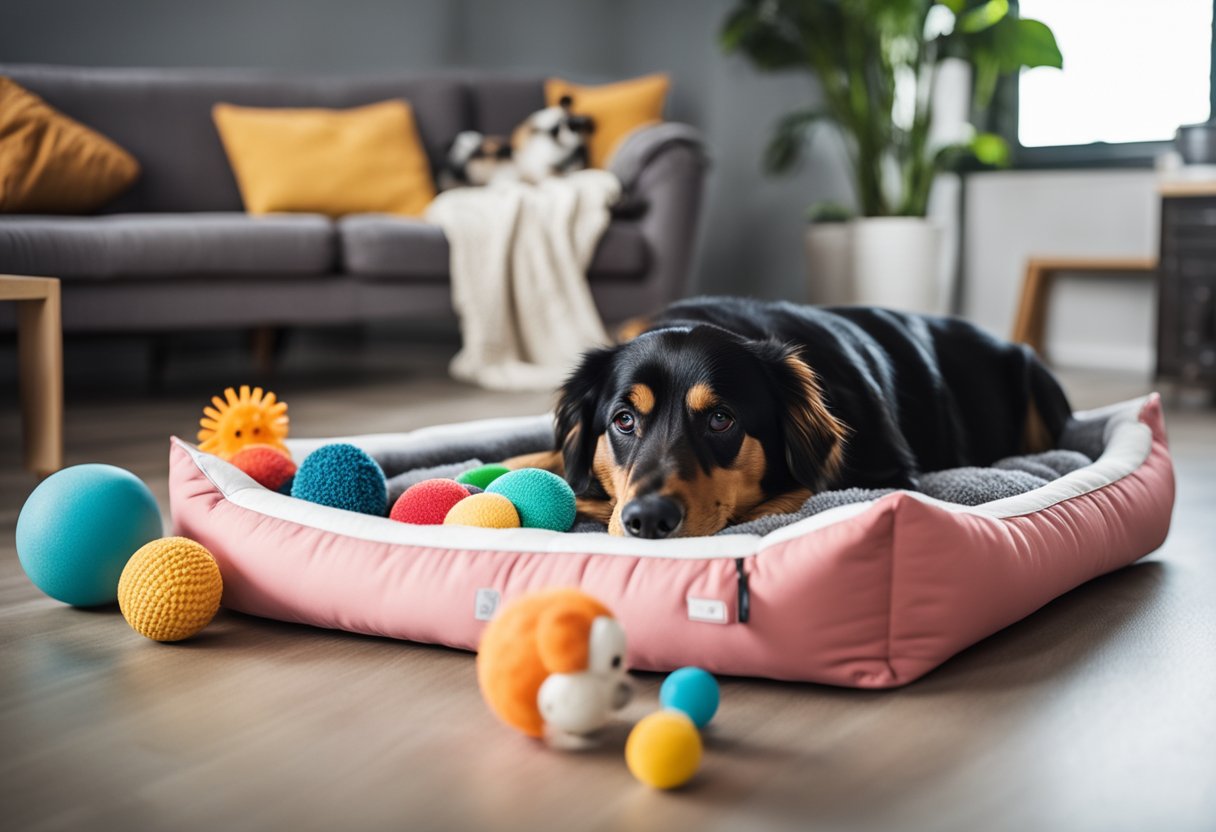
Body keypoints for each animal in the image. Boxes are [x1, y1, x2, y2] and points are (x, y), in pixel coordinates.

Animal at [508, 295, 1070, 535]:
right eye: (624, 420)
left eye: (721, 420)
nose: (647, 520)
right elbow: (541, 456)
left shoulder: (886, 474)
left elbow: (791, 495)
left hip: (1033, 376)